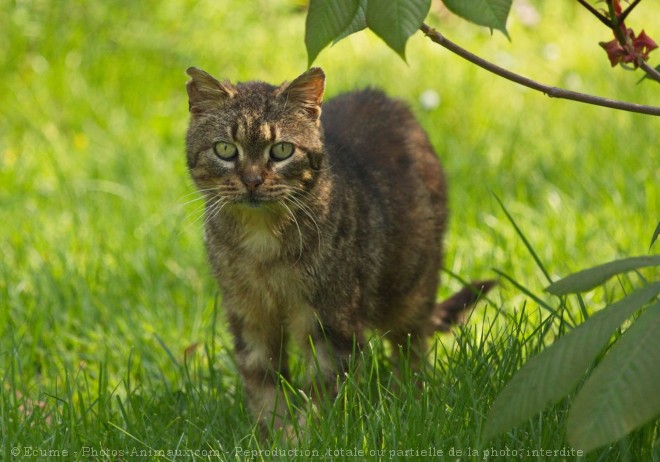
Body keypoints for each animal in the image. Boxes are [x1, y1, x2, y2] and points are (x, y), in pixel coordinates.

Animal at [183, 67, 492, 432]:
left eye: (282, 150)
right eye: (226, 149)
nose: (252, 181)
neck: (262, 245)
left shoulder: (331, 322)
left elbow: (322, 392)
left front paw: (306, 436)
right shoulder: (249, 317)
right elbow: (263, 386)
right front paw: (272, 435)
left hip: (410, 289)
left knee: (411, 350)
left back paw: (407, 401)